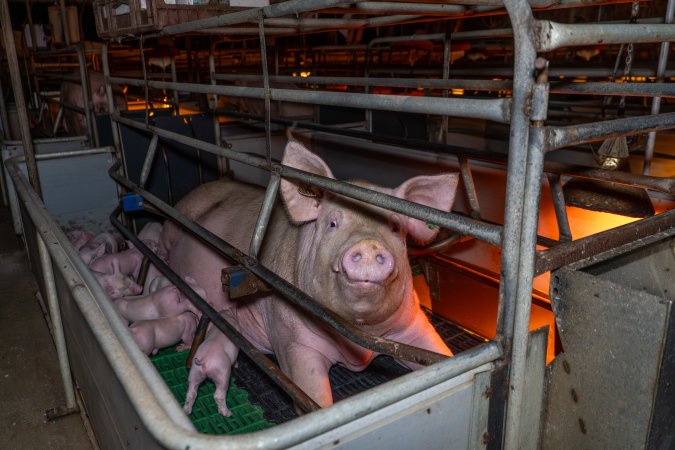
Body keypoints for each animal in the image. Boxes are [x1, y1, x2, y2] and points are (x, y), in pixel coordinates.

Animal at [165, 140, 460, 412]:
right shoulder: (292, 340)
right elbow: (314, 396)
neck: (358, 341)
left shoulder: (412, 322)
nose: (368, 244)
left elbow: (439, 353)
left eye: (395, 228)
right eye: (332, 223)